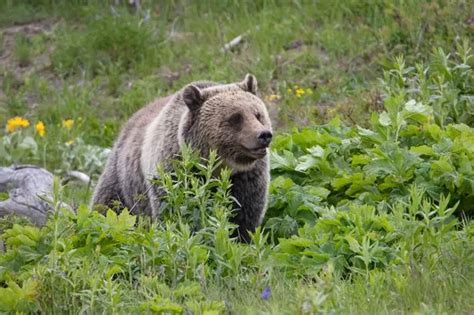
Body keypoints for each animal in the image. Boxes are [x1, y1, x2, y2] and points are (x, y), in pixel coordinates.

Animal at [91, 75, 272, 243]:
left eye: (258, 114)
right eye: (235, 117)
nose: (264, 135)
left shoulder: (246, 178)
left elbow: (244, 216)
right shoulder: (173, 172)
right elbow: (174, 212)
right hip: (122, 181)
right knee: (107, 207)